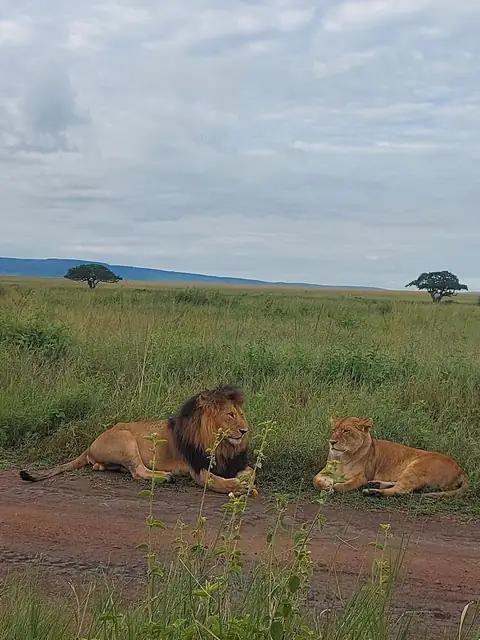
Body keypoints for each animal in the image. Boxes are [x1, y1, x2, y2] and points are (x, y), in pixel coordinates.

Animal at [19, 384, 257, 496]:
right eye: (230, 415)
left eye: (241, 415)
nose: (244, 431)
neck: (222, 445)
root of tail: (89, 447)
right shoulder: (196, 468)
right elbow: (213, 481)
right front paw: (238, 486)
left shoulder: (235, 462)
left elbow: (251, 472)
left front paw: (245, 482)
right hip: (125, 438)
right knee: (138, 472)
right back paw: (165, 476)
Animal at [313, 416, 468, 497]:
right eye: (334, 430)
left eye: (346, 431)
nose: (332, 442)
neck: (343, 457)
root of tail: (460, 470)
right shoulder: (324, 472)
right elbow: (315, 480)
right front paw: (326, 484)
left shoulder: (362, 476)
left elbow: (346, 485)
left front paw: (334, 486)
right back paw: (374, 485)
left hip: (417, 466)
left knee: (402, 490)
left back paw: (371, 491)